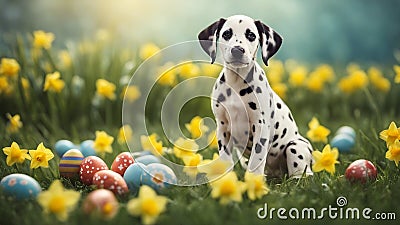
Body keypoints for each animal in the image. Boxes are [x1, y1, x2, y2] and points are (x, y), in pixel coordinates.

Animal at [198, 15, 314, 178]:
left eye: (251, 35)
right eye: (226, 34)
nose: (237, 50)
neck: (236, 83)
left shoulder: (261, 127)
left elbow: (256, 160)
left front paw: (253, 181)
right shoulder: (223, 128)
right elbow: (226, 159)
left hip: (295, 146)